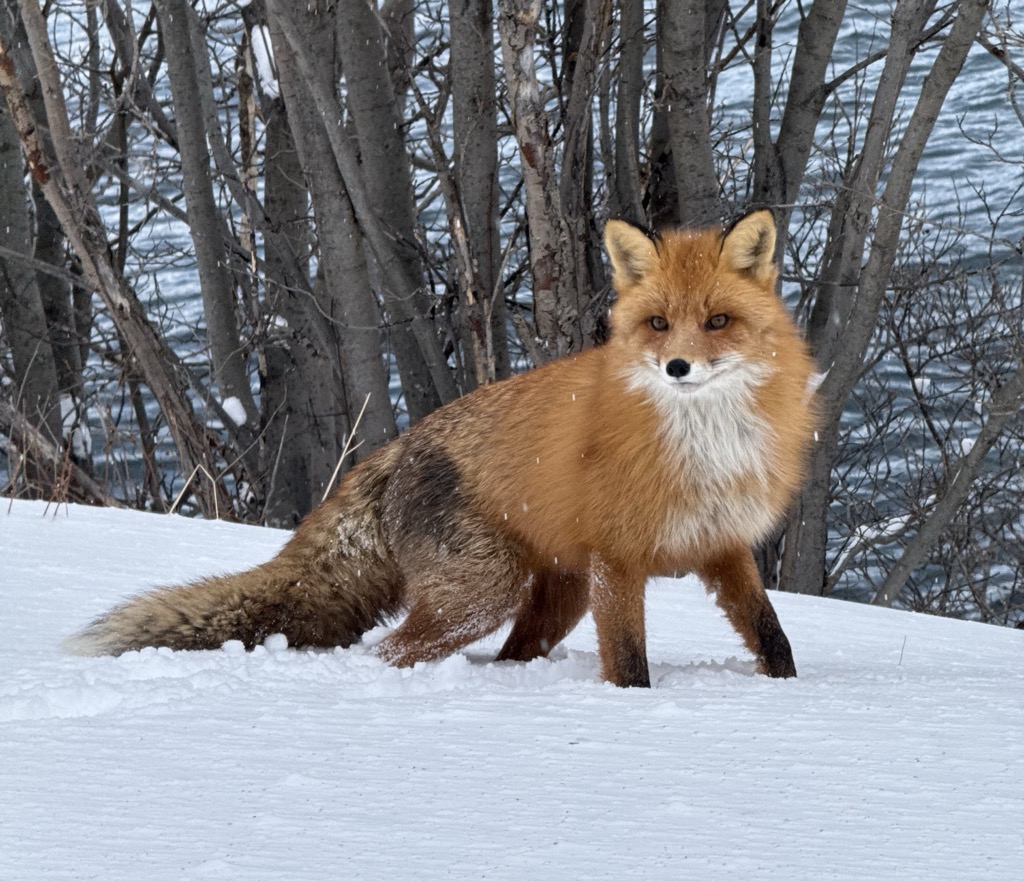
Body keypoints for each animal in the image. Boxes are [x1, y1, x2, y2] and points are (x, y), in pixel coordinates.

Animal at [65, 210, 817, 687]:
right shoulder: (618, 560)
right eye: (658, 324)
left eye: (717, 321)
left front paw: (789, 696)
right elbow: (630, 664)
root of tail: (398, 446)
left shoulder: (721, 544)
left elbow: (772, 634)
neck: (704, 446)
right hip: (485, 592)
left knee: (509, 652)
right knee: (390, 650)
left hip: (555, 594)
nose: (677, 368)